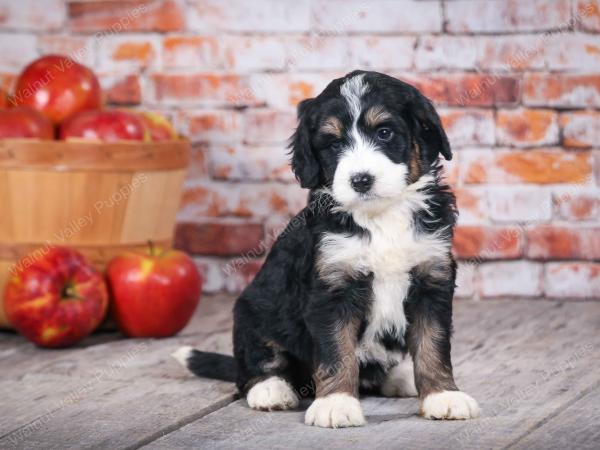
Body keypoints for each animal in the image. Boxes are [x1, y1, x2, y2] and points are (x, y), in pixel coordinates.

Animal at [173, 71, 478, 428]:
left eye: (385, 132)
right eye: (333, 144)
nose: (361, 179)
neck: (381, 217)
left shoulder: (432, 278)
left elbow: (433, 344)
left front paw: (443, 396)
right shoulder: (331, 288)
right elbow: (337, 350)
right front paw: (336, 403)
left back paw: (398, 376)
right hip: (253, 310)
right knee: (254, 363)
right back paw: (271, 389)